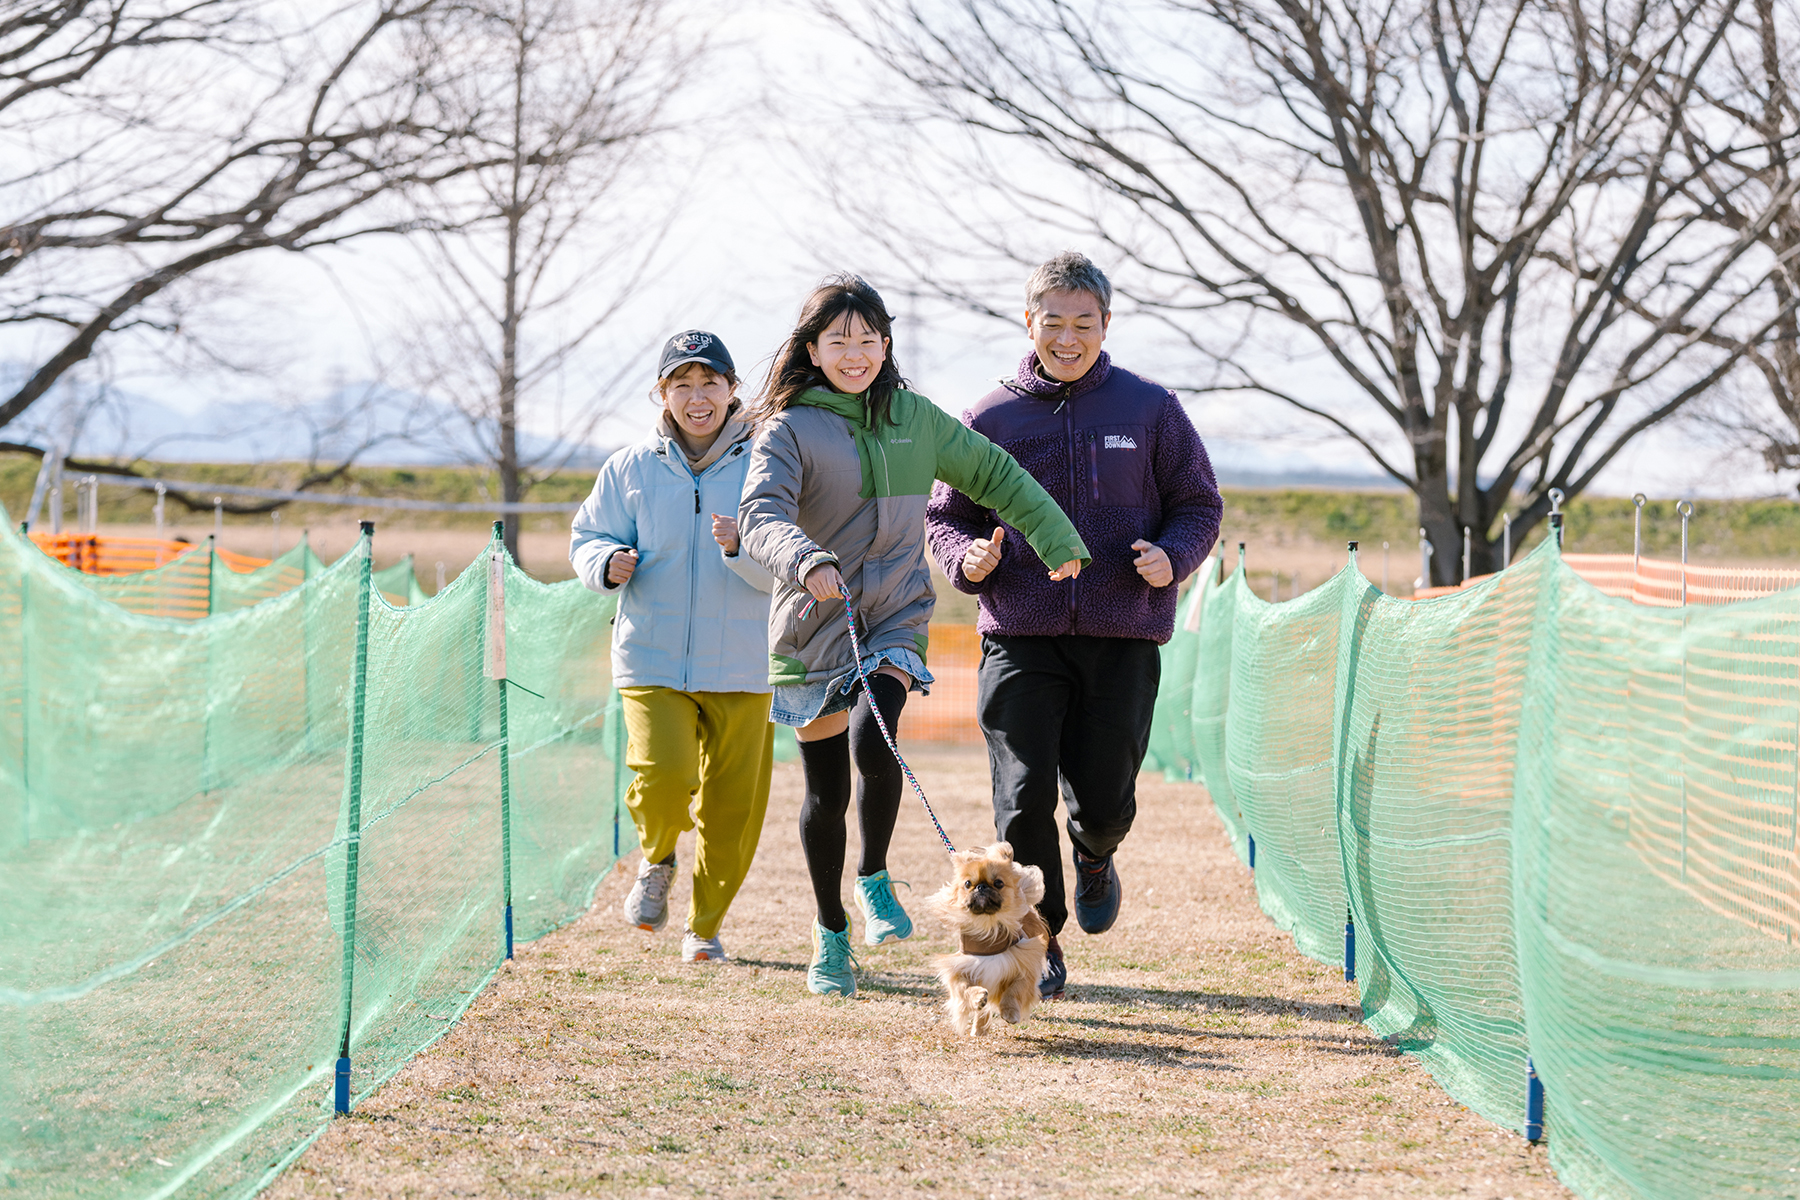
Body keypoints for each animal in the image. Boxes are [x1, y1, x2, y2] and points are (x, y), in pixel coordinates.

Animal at [921, 845, 1051, 1036]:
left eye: (998, 883)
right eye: (968, 884)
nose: (981, 887)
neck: (988, 930)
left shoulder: (1024, 968)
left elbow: (1013, 992)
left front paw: (1010, 1013)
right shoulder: (960, 968)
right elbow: (965, 988)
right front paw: (978, 997)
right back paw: (979, 1029)